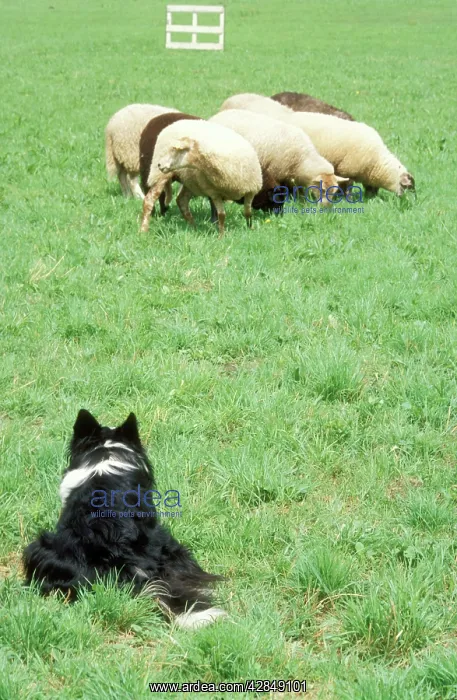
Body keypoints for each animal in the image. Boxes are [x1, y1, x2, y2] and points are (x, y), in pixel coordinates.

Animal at [209, 109, 348, 205]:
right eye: (323, 189)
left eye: (335, 191)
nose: (327, 209)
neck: (302, 158)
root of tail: (217, 116)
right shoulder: (276, 172)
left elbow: (300, 190)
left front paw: (302, 202)